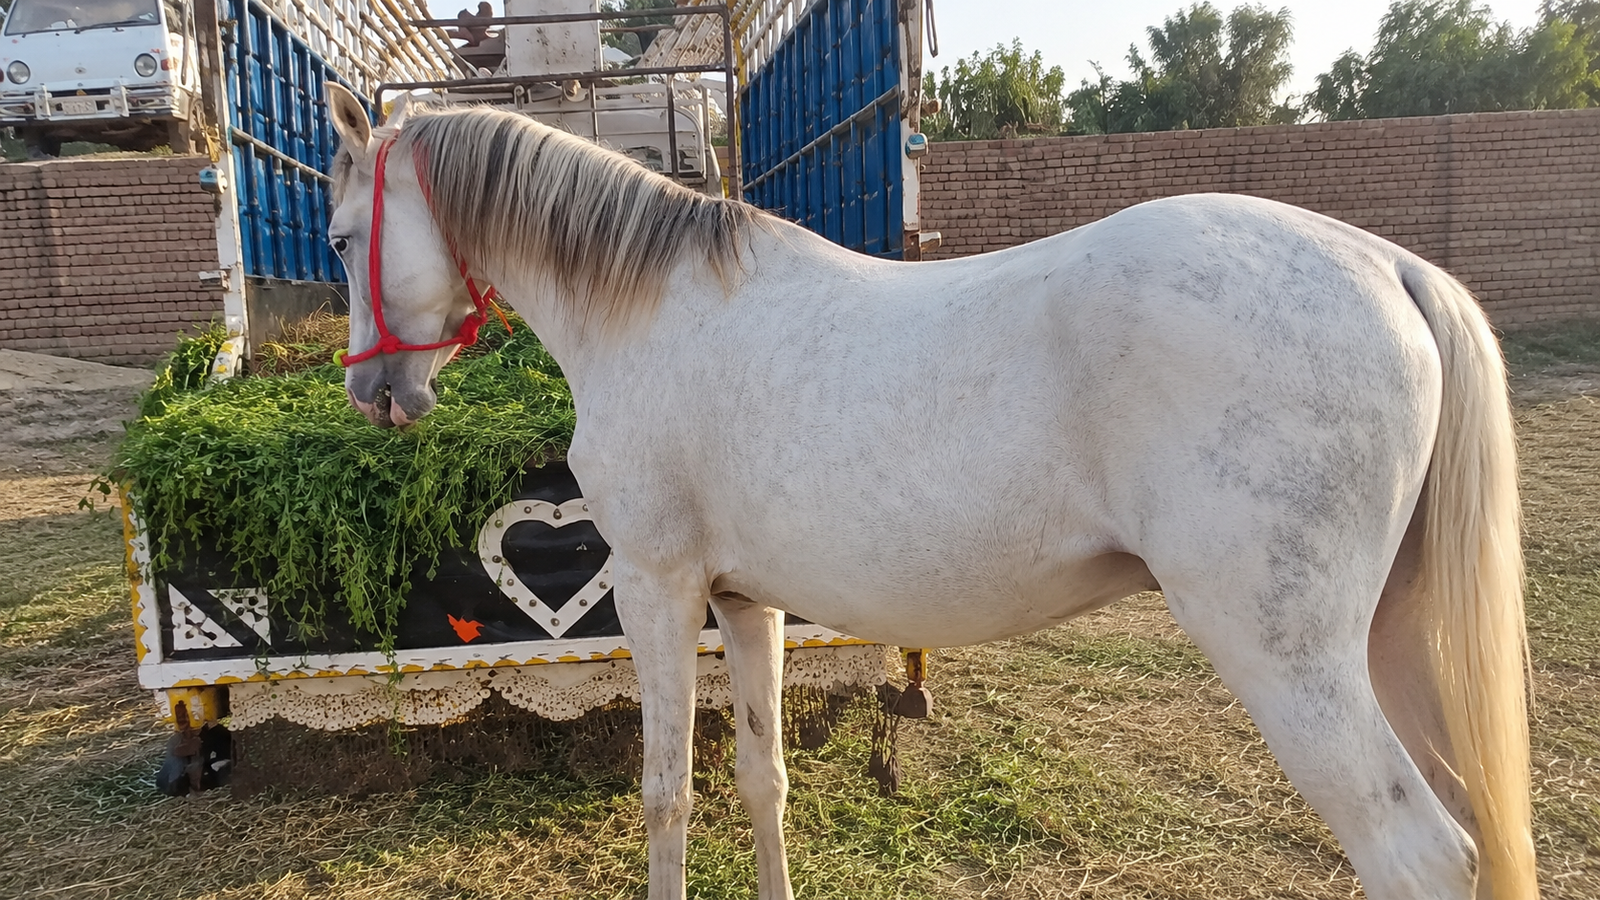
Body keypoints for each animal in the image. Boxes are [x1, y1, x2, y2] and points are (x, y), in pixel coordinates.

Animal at [322, 82, 1534, 900]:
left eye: (338, 238)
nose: (374, 394)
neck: (650, 308)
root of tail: (1390, 268)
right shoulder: (745, 603)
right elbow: (761, 778)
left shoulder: (655, 591)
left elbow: (667, 793)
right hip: (1389, 641)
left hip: (1289, 657)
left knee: (1417, 853)